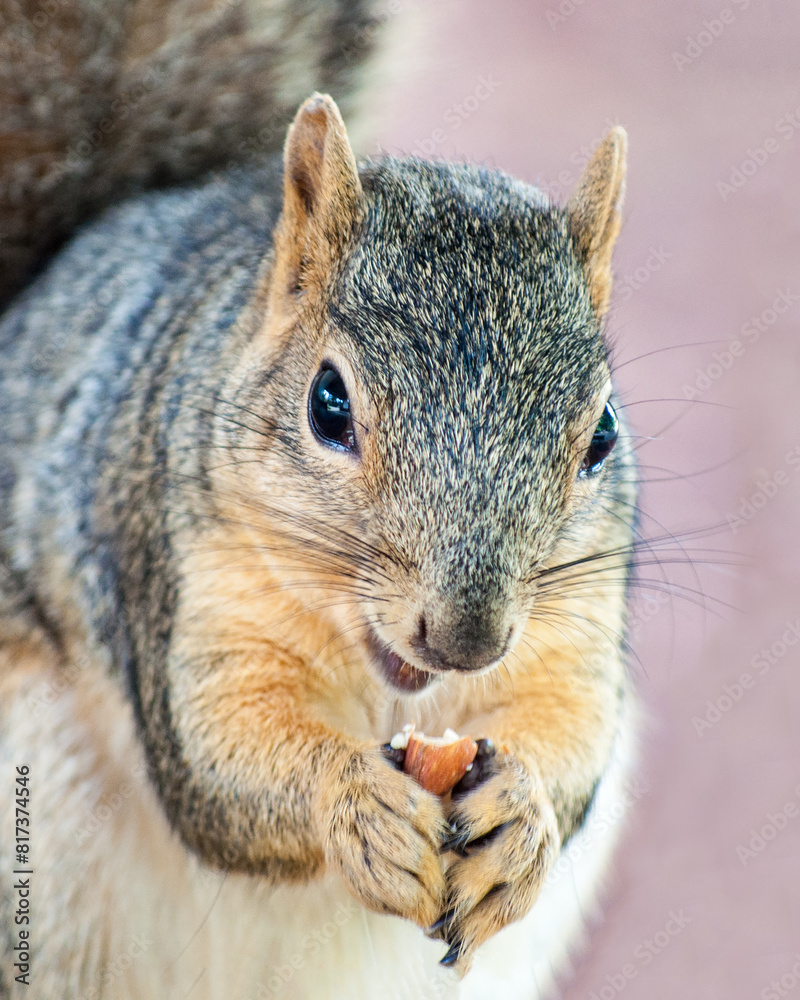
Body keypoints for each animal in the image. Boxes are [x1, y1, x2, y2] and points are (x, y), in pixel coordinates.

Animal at [0, 2, 638, 999]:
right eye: (327, 404)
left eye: (603, 433)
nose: (467, 638)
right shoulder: (184, 582)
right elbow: (218, 758)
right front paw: (354, 801)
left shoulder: (573, 629)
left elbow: (570, 734)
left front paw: (523, 817)